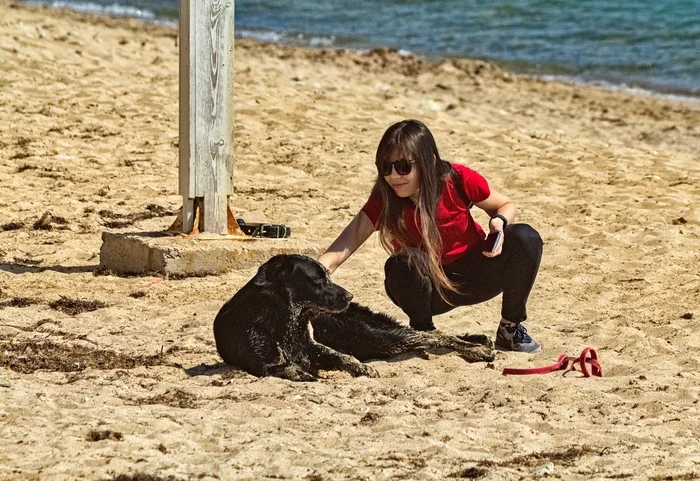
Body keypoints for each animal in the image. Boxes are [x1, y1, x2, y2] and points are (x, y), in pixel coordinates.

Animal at [213, 253, 492, 380]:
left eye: (328, 274)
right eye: (318, 279)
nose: (349, 296)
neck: (285, 319)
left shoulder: (312, 346)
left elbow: (342, 357)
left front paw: (361, 368)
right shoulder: (270, 365)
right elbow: (295, 369)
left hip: (376, 336)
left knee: (430, 336)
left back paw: (476, 347)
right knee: (425, 337)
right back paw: (478, 343)